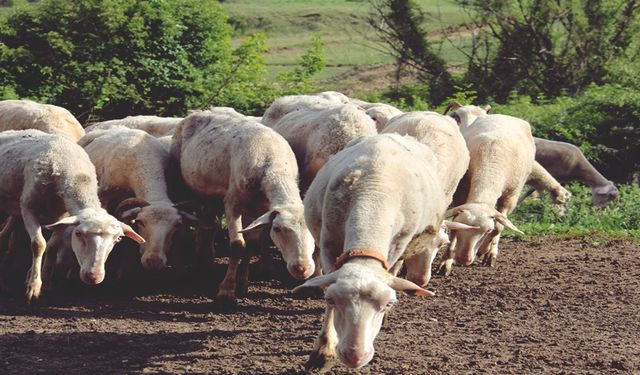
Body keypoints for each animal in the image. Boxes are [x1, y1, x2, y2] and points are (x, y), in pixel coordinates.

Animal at [0, 130, 144, 302]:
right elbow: (38, 244)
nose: (94, 277)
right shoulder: (29, 208)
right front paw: (34, 287)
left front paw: (45, 281)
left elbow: (51, 247)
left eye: (118, 239)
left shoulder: (63, 218)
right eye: (79, 234)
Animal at [170, 110, 316, 306]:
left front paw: (243, 285)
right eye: (277, 229)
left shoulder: (260, 211)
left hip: (210, 193)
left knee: (208, 221)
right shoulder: (233, 204)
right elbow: (238, 246)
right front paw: (226, 291)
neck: (275, 168)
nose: (302, 269)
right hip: (183, 182)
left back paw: (205, 258)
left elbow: (251, 245)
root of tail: (200, 111)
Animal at [294, 134, 448, 372]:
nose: (354, 357)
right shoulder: (329, 243)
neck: (374, 196)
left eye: (388, 303)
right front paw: (324, 351)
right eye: (331, 300)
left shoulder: (397, 244)